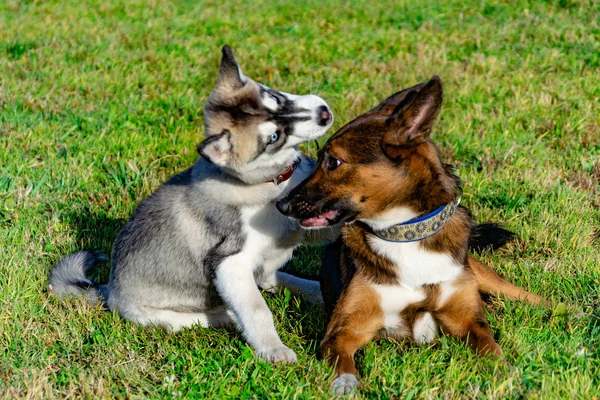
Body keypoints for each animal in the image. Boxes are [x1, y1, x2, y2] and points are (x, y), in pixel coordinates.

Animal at [48, 46, 332, 362]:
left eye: (275, 96)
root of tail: (108, 290)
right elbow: (257, 309)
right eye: (273, 136)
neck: (270, 181)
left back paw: (312, 289)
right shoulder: (229, 263)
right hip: (158, 314)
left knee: (270, 280)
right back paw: (225, 316)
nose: (324, 113)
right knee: (205, 315)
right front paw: (273, 349)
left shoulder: (301, 224)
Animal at [276, 77, 548, 394]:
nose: (281, 205)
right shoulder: (344, 331)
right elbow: (344, 365)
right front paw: (346, 386)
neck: (404, 235)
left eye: (333, 162)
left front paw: (504, 374)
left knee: (530, 297)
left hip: (489, 278)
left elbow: (491, 348)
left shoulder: (468, 320)